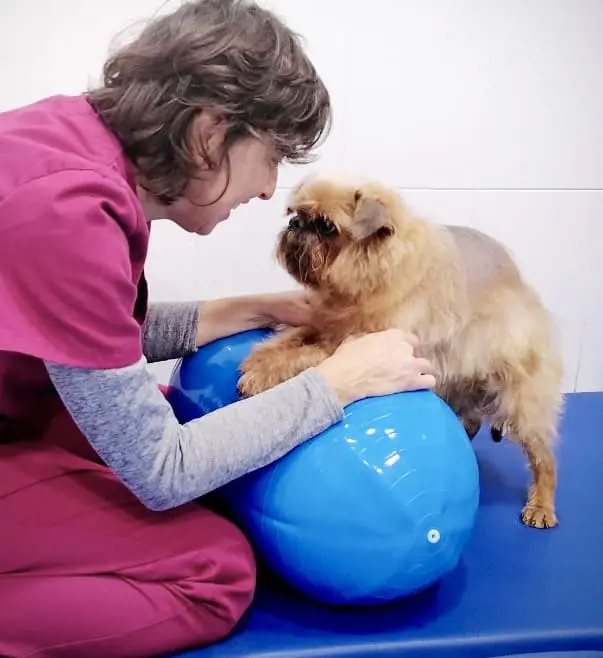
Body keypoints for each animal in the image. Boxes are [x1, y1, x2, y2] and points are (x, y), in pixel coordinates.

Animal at [237, 173, 564, 529]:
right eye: (295, 214)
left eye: (326, 226)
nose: (296, 224)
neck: (370, 276)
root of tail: (525, 289)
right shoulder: (327, 324)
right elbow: (294, 338)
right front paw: (261, 357)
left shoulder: (363, 343)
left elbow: (308, 356)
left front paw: (261, 373)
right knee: (473, 420)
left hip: (521, 399)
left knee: (543, 456)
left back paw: (542, 504)